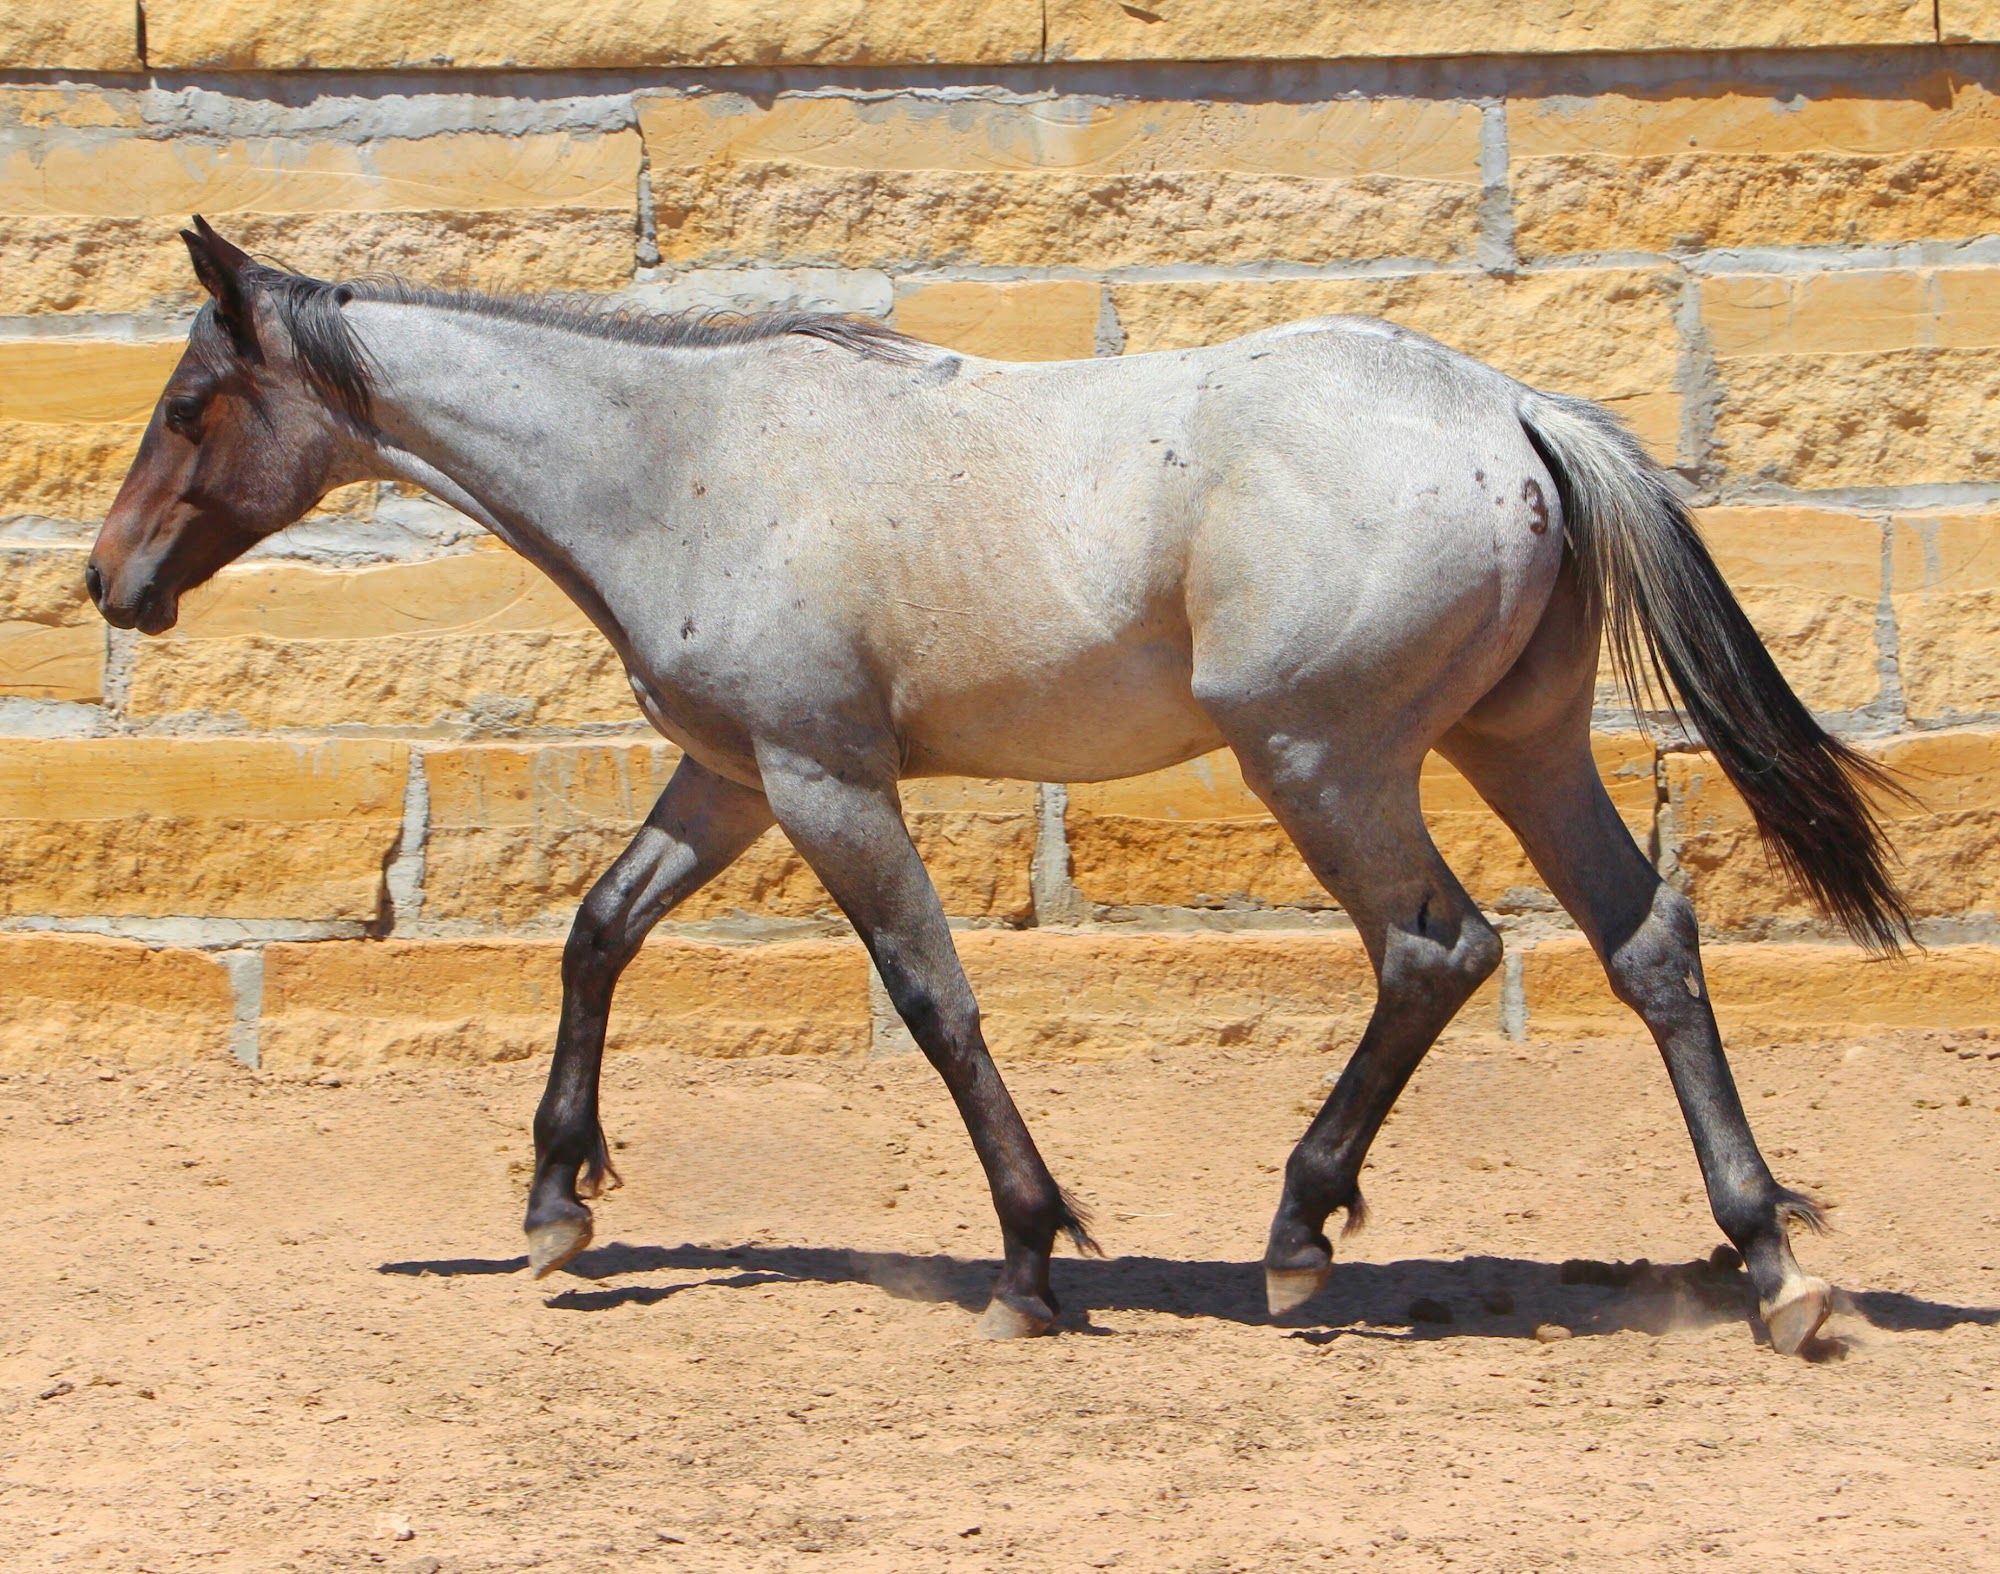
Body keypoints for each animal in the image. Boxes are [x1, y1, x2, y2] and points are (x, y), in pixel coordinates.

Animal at [88, 218, 1911, 1354]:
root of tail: (1520, 411)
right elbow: (599, 930)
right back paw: (1772, 1264)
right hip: (1514, 744)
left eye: (187, 402)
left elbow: (935, 995)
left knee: (1438, 947)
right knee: (1647, 939)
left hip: (1325, 759)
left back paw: (1300, 1235)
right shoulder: (731, 773)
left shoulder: (823, 778)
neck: (683, 458)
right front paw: (555, 1207)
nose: (112, 581)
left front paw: (1032, 1256)